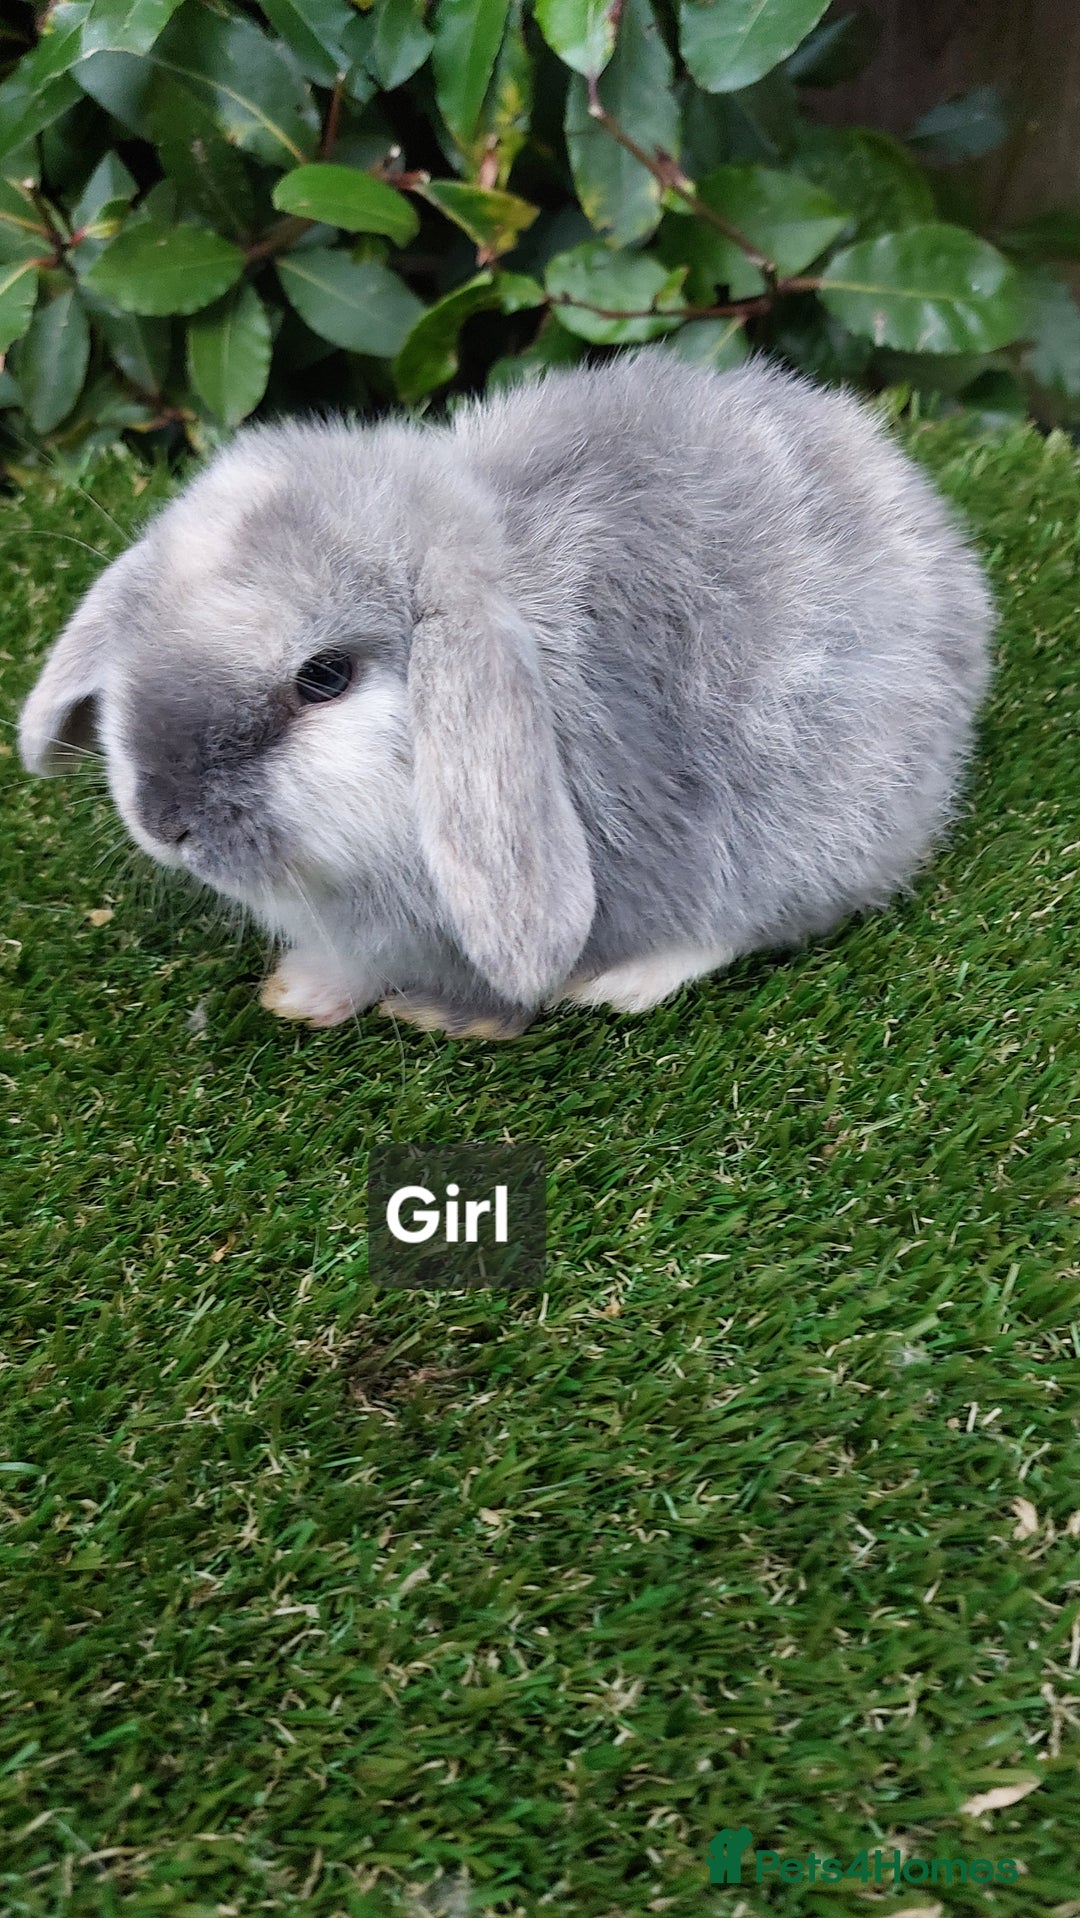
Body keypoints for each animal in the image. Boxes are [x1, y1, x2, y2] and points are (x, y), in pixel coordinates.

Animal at [18, 350, 993, 1040]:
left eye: (324, 677)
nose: (164, 822)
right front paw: (302, 994)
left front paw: (450, 1014)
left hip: (816, 825)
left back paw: (623, 984)